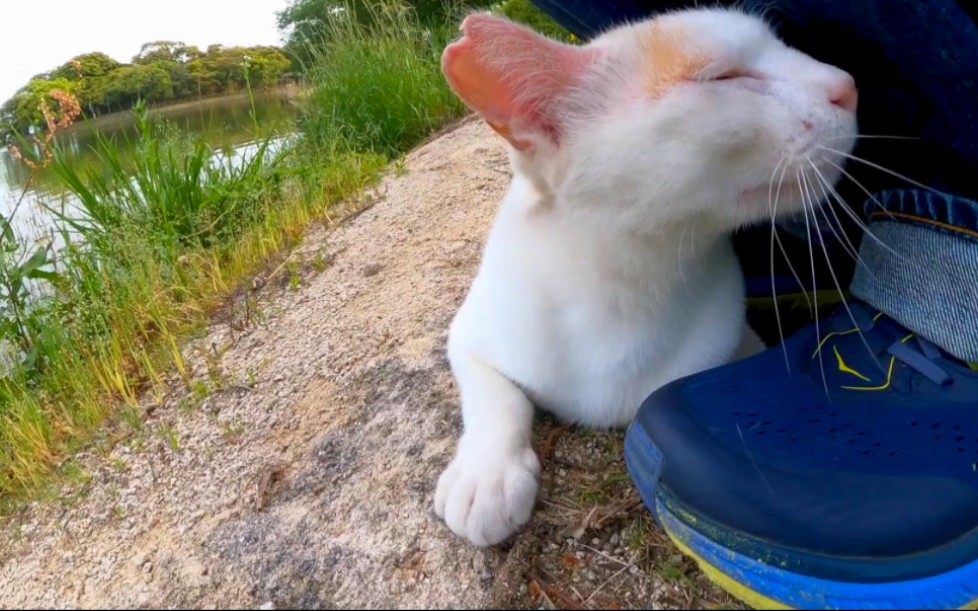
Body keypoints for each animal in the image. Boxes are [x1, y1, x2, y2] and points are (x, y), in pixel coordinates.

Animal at [434, 7, 856, 548]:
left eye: (782, 45)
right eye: (724, 77)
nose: (847, 85)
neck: (630, 284)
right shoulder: (468, 331)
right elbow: (494, 395)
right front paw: (486, 475)